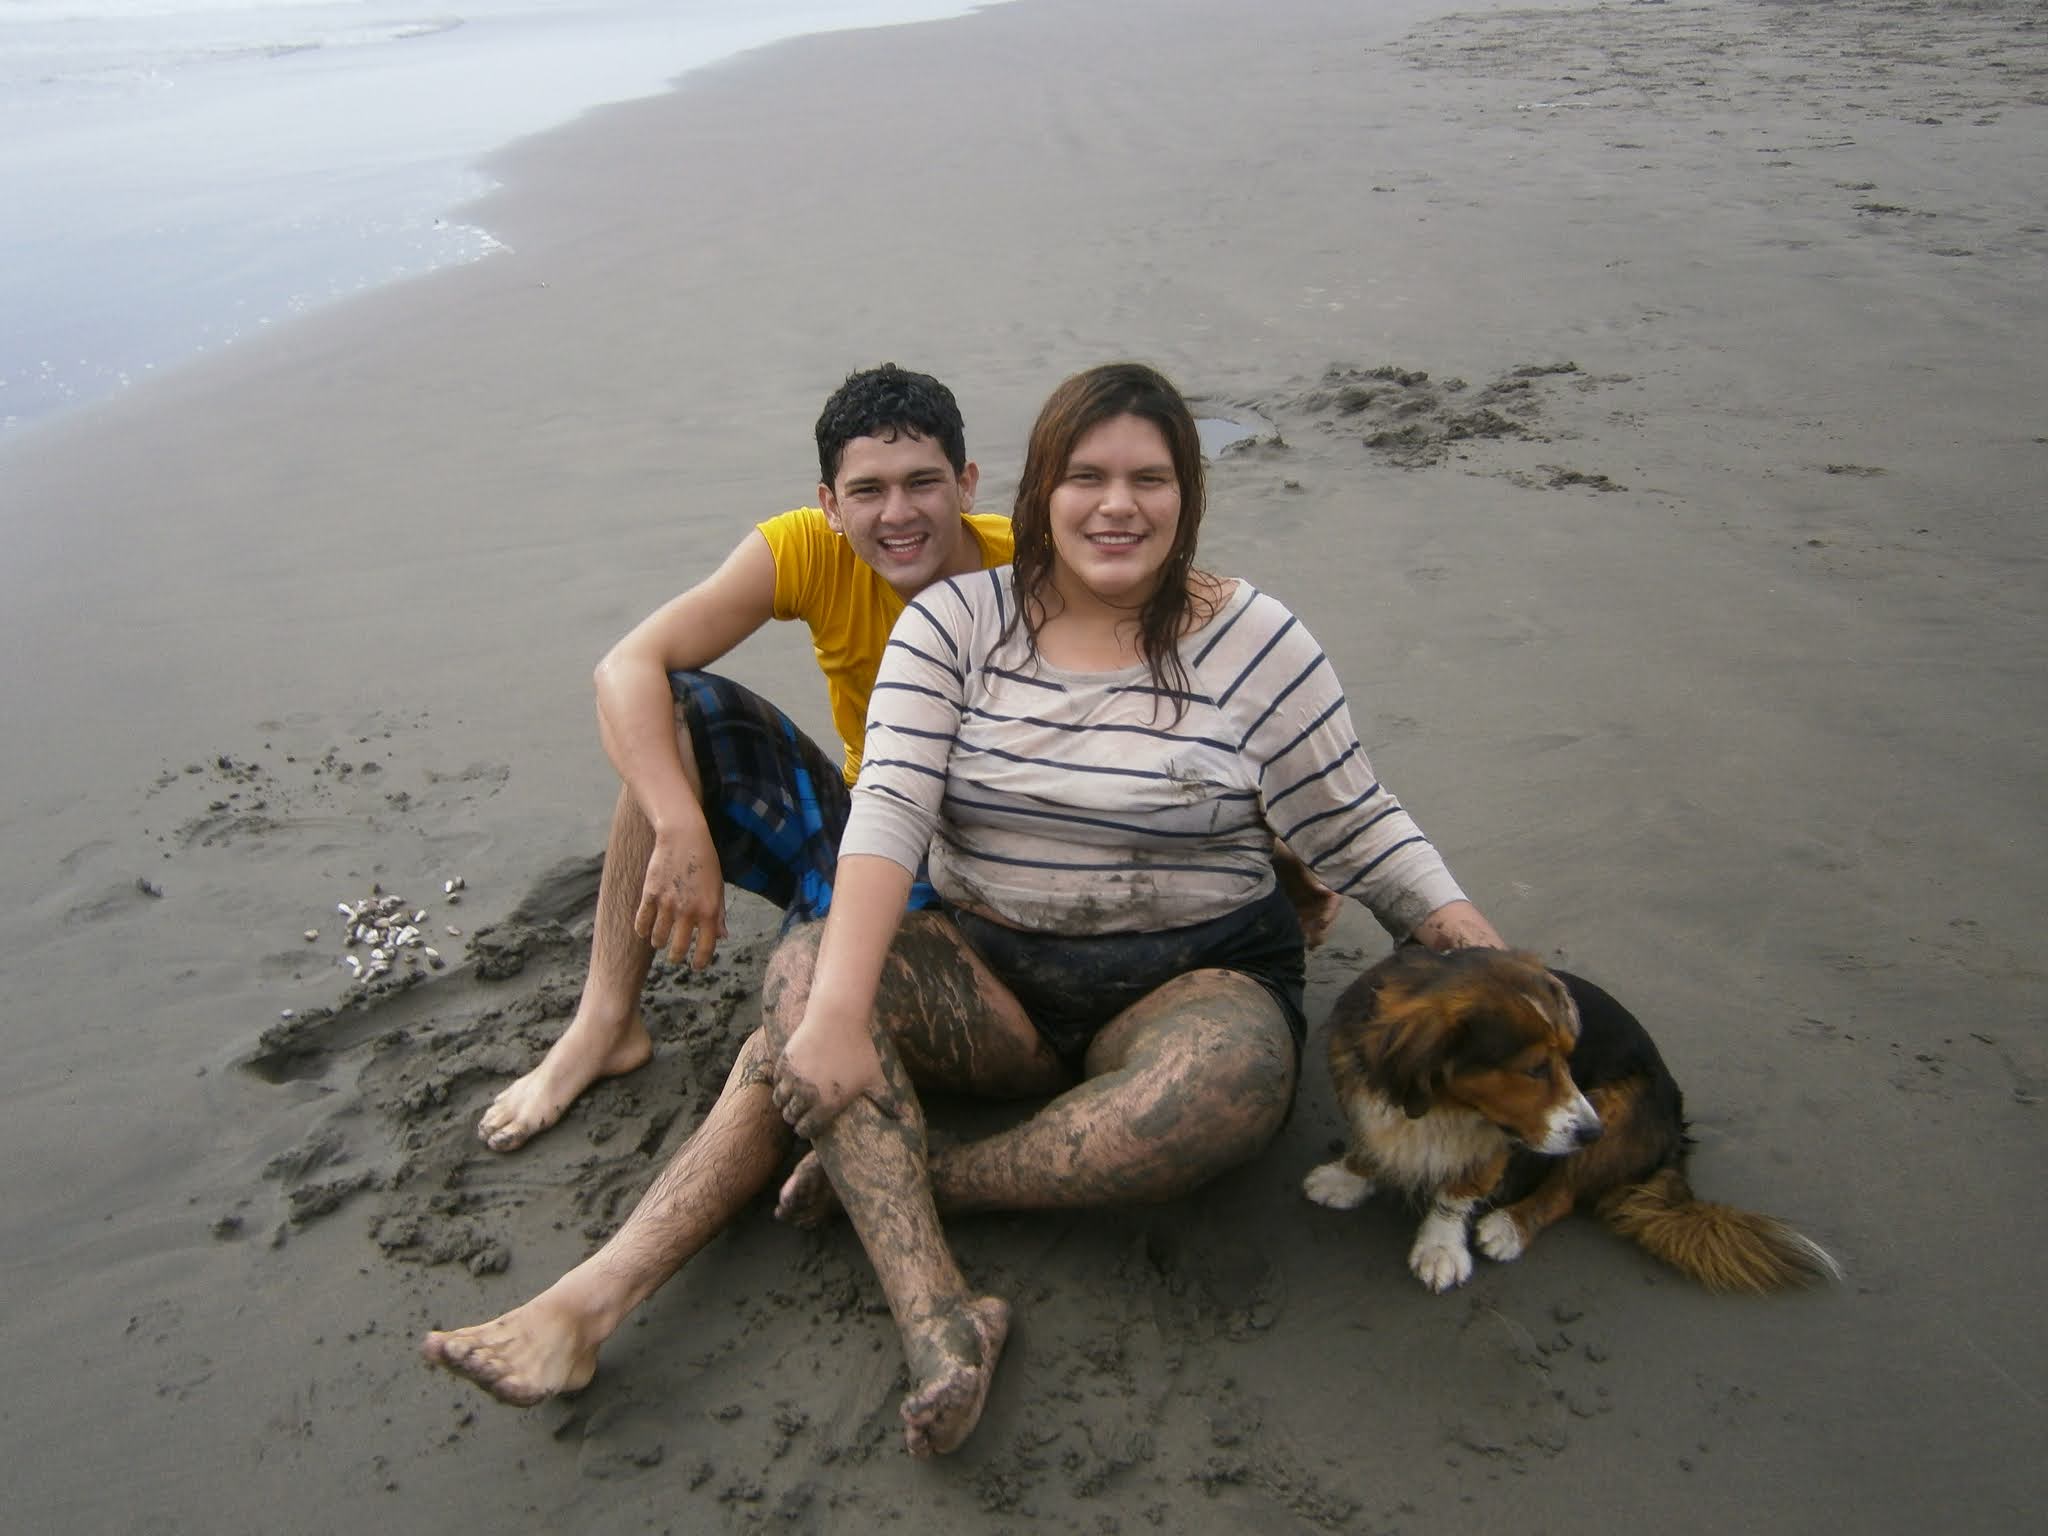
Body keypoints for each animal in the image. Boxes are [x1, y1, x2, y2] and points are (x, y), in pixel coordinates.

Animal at [1310, 950, 1843, 1302]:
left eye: (1569, 1057)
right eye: (1533, 1069)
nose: (1591, 1134)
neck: (1447, 1107)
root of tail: (1675, 1134)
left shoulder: (1502, 1143)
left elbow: (1456, 1193)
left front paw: (1440, 1247)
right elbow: (1369, 1147)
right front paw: (1347, 1177)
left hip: (1620, 1105)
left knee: (1563, 1194)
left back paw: (1510, 1225)